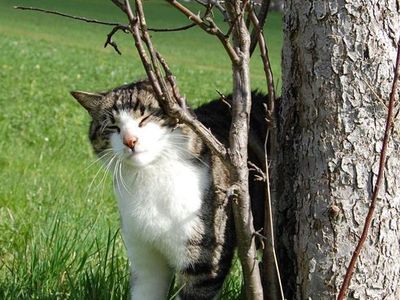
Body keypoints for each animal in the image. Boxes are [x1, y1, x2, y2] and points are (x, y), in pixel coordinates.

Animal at [71, 79, 268, 300]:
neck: (150, 176)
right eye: (113, 126)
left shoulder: (204, 262)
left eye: (145, 117)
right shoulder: (144, 258)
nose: (130, 141)